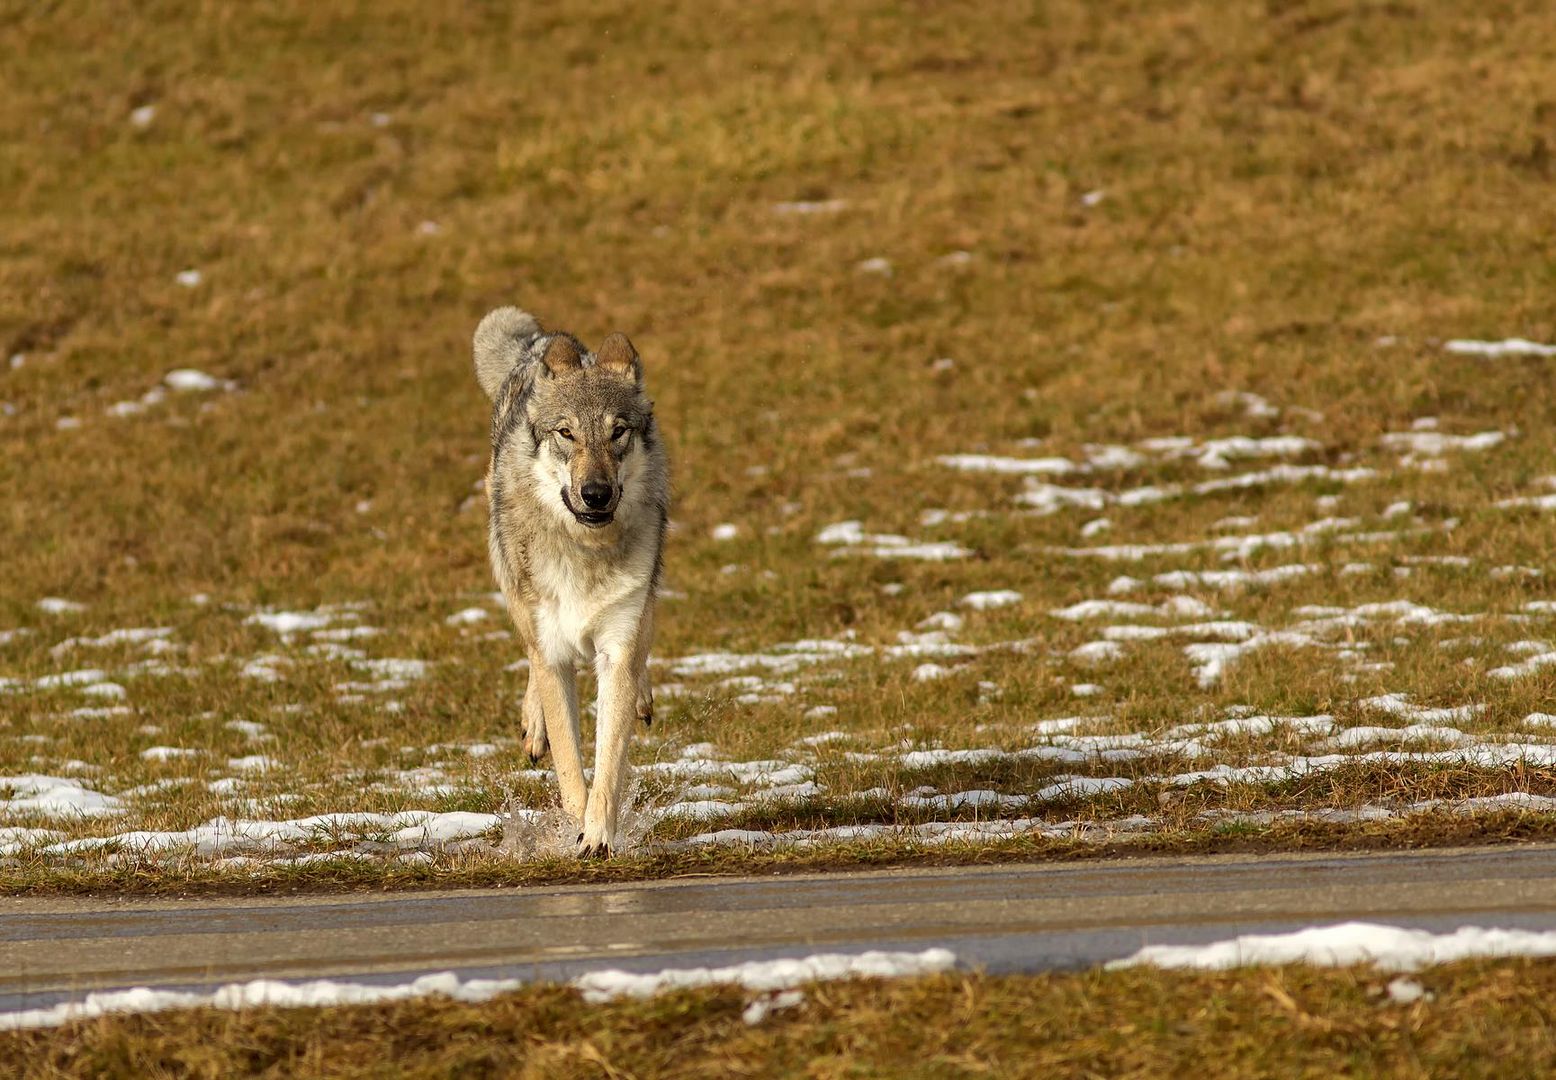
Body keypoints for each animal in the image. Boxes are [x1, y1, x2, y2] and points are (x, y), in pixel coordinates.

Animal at [473, 308, 669, 859]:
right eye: (567, 434)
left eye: (618, 432)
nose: (596, 493)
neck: (586, 552)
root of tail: (544, 343)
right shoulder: (555, 654)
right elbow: (569, 769)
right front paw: (574, 827)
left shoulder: (617, 647)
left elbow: (608, 766)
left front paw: (598, 834)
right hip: (516, 593)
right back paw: (533, 725)